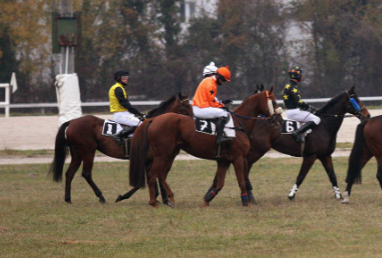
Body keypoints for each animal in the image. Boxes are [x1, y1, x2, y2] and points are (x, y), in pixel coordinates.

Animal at [47, 92, 191, 204]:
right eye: (187, 106)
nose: (192, 121)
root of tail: (71, 122)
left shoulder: (150, 159)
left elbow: (153, 178)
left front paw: (162, 199)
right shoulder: (149, 158)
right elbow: (144, 181)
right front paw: (123, 197)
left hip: (77, 153)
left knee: (69, 173)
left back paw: (68, 199)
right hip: (88, 151)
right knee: (86, 173)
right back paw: (101, 197)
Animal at [127, 86, 278, 208]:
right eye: (274, 101)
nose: (278, 119)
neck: (238, 124)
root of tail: (153, 119)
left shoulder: (224, 160)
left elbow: (220, 183)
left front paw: (207, 199)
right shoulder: (238, 158)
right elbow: (241, 181)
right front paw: (246, 202)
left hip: (171, 153)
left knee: (161, 174)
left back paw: (170, 199)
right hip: (162, 154)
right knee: (153, 175)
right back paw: (154, 202)